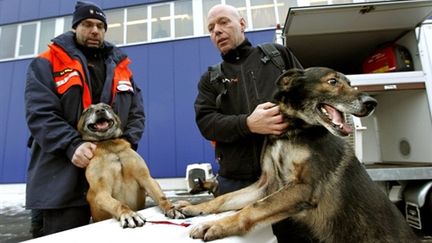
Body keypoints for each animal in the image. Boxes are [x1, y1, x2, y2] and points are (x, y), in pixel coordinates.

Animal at [175, 67, 418, 243]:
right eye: (333, 81)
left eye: (349, 83)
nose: (371, 103)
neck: (291, 131)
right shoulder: (266, 185)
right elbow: (224, 199)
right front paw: (194, 208)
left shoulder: (303, 188)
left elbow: (252, 208)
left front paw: (215, 225)